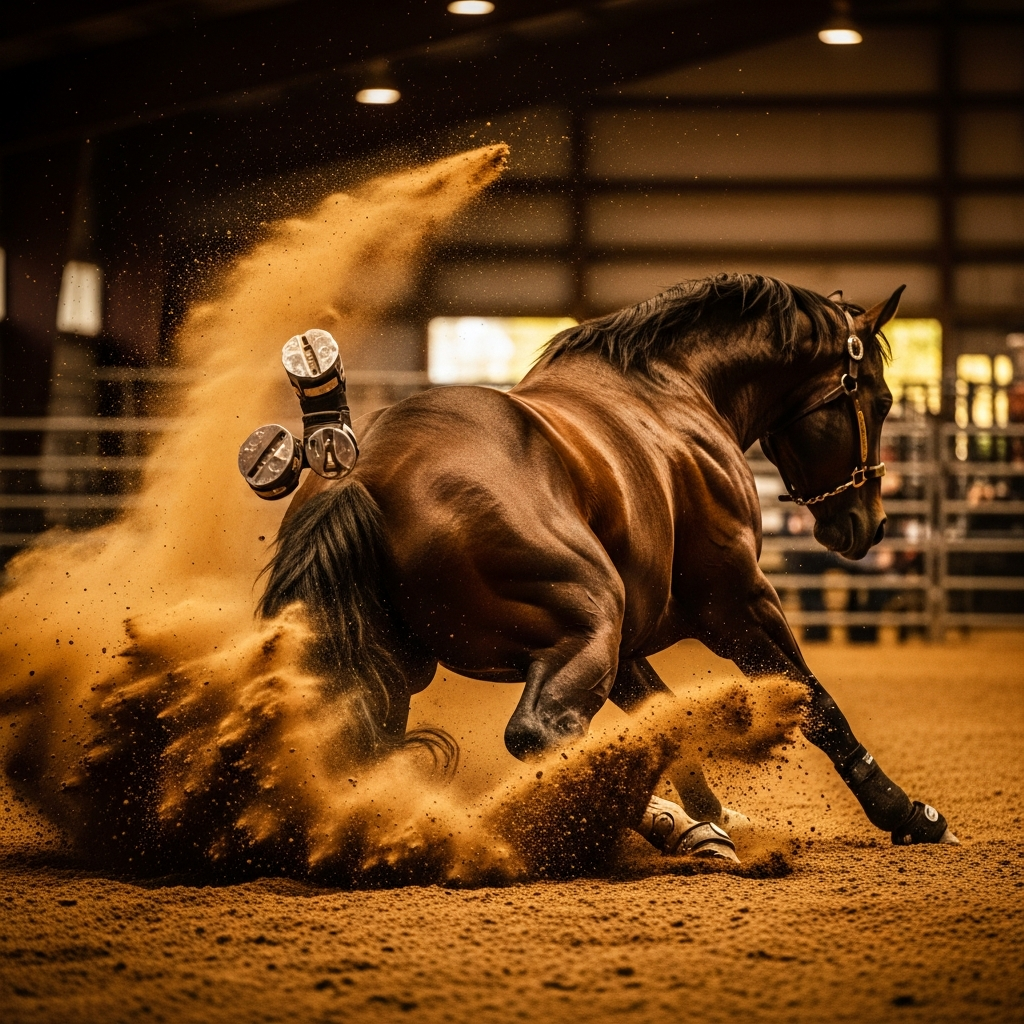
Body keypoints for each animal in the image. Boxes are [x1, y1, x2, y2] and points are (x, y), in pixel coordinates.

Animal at [258, 273, 956, 853]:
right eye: (882, 400)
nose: (870, 525)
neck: (675, 390)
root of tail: (363, 473)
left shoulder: (629, 644)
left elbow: (664, 720)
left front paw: (710, 817)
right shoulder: (738, 603)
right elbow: (817, 704)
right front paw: (910, 815)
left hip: (409, 668)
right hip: (586, 626)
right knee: (543, 734)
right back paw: (655, 823)